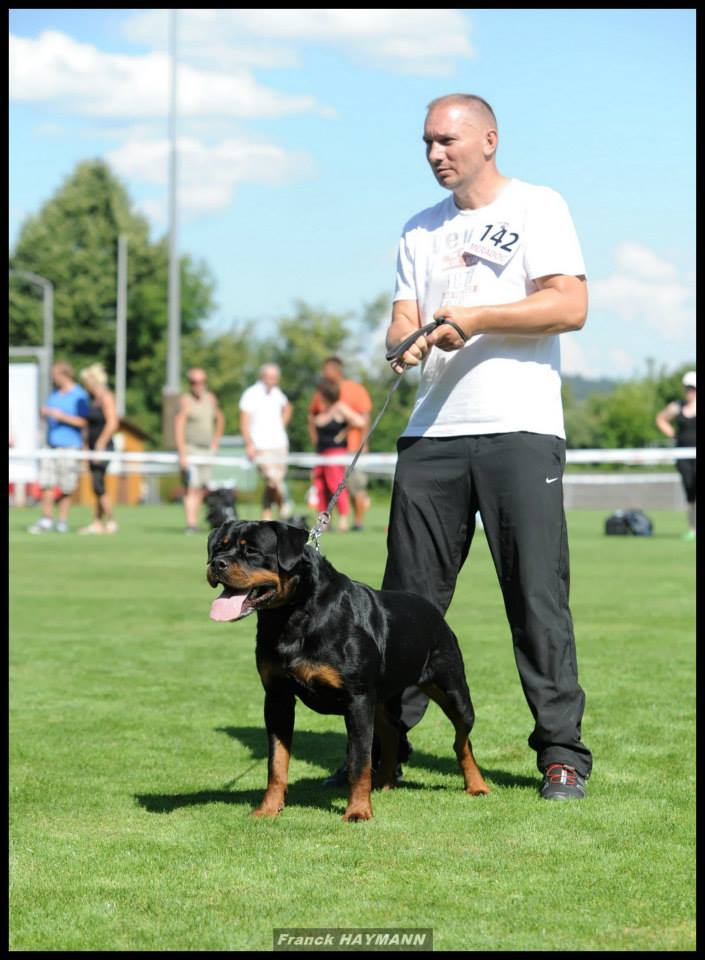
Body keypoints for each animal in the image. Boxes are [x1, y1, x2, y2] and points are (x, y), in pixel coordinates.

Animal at [206, 520, 486, 820]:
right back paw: (384, 783)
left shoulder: (357, 698)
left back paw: (477, 785)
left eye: (252, 551)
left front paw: (358, 811)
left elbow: (359, 761)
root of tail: (432, 611)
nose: (216, 563)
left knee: (461, 740)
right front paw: (268, 808)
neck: (292, 616)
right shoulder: (277, 698)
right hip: (381, 698)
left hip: (453, 690)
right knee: (392, 733)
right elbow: (277, 762)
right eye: (219, 547)